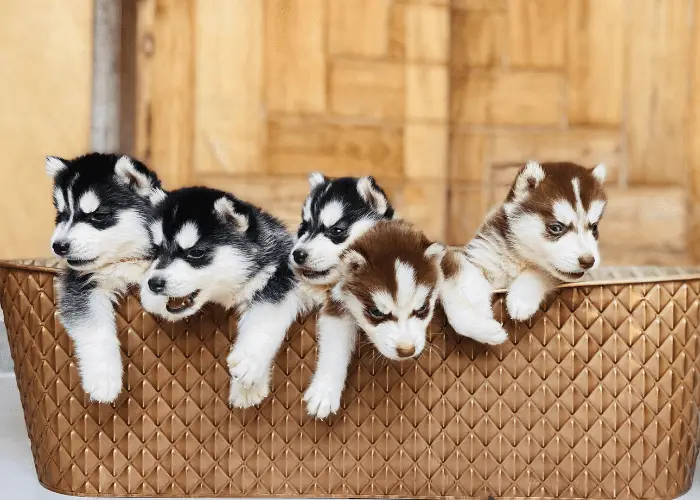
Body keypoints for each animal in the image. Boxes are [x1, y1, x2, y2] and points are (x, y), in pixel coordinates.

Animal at [45, 152, 165, 402]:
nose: (59, 246)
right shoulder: (79, 286)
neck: (125, 260)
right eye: (61, 215)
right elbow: (95, 328)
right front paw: (103, 380)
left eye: (98, 215)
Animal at [139, 186, 312, 408]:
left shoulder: (286, 273)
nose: (155, 283)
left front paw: (249, 360)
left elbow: (267, 311)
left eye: (196, 252)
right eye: (157, 249)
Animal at [290, 173, 396, 418]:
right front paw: (325, 389)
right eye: (303, 227)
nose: (298, 254)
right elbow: (334, 345)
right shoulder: (339, 308)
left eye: (336, 231)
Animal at [304, 221, 446, 420]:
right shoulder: (337, 300)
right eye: (376, 312)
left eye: (422, 308)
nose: (406, 351)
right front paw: (325, 391)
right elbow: (334, 345)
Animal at [442, 161, 608, 344]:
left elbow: (541, 272)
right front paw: (479, 319)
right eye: (556, 227)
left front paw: (521, 298)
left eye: (594, 227)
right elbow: (457, 282)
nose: (588, 261)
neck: (520, 257)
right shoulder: (473, 255)